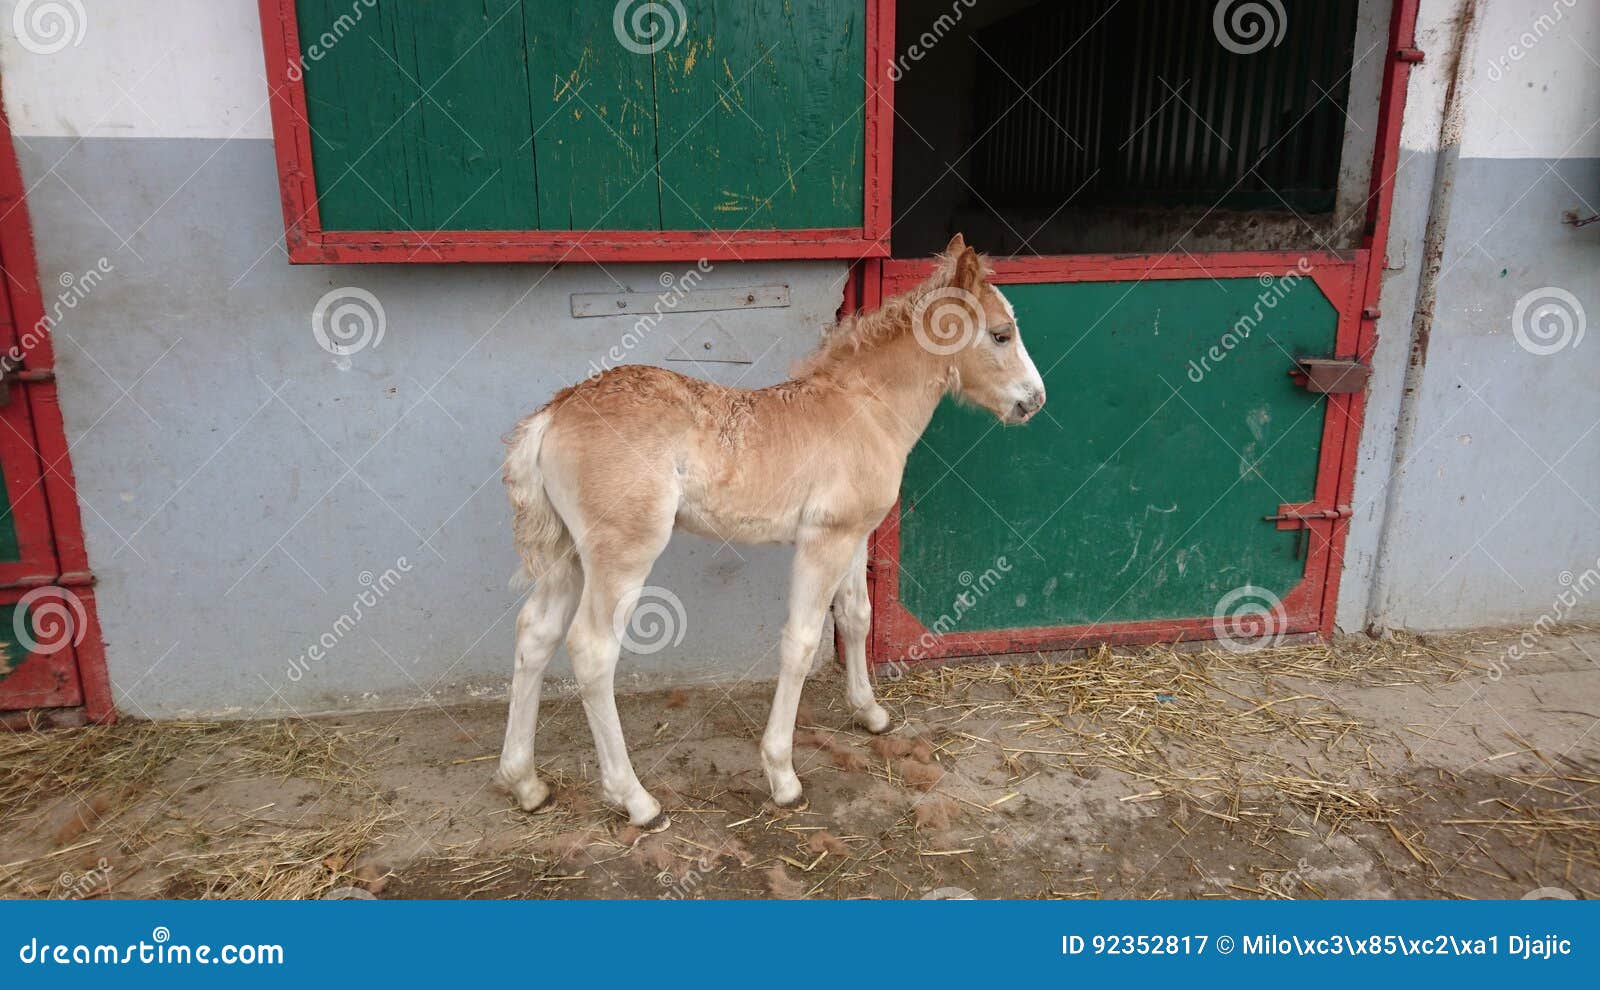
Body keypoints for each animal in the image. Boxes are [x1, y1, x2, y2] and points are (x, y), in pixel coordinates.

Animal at [502, 236, 1049, 831]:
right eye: (1001, 333)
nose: (1034, 400)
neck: (867, 408)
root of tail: (554, 413)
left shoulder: (853, 535)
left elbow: (856, 616)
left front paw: (870, 713)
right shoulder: (823, 541)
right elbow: (802, 642)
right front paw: (782, 774)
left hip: (568, 553)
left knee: (535, 632)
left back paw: (525, 783)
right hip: (621, 553)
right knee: (592, 649)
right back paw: (636, 799)